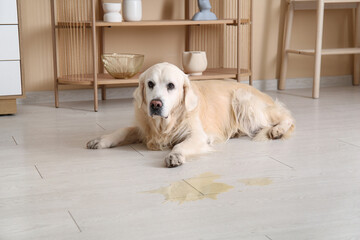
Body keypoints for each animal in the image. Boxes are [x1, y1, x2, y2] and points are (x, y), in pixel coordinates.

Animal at [86, 62, 294, 168]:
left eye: (171, 86)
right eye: (150, 84)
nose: (155, 104)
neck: (164, 124)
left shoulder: (197, 135)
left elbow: (181, 144)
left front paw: (174, 155)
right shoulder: (144, 127)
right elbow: (123, 130)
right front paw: (100, 140)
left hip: (243, 101)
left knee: (288, 117)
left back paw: (278, 130)